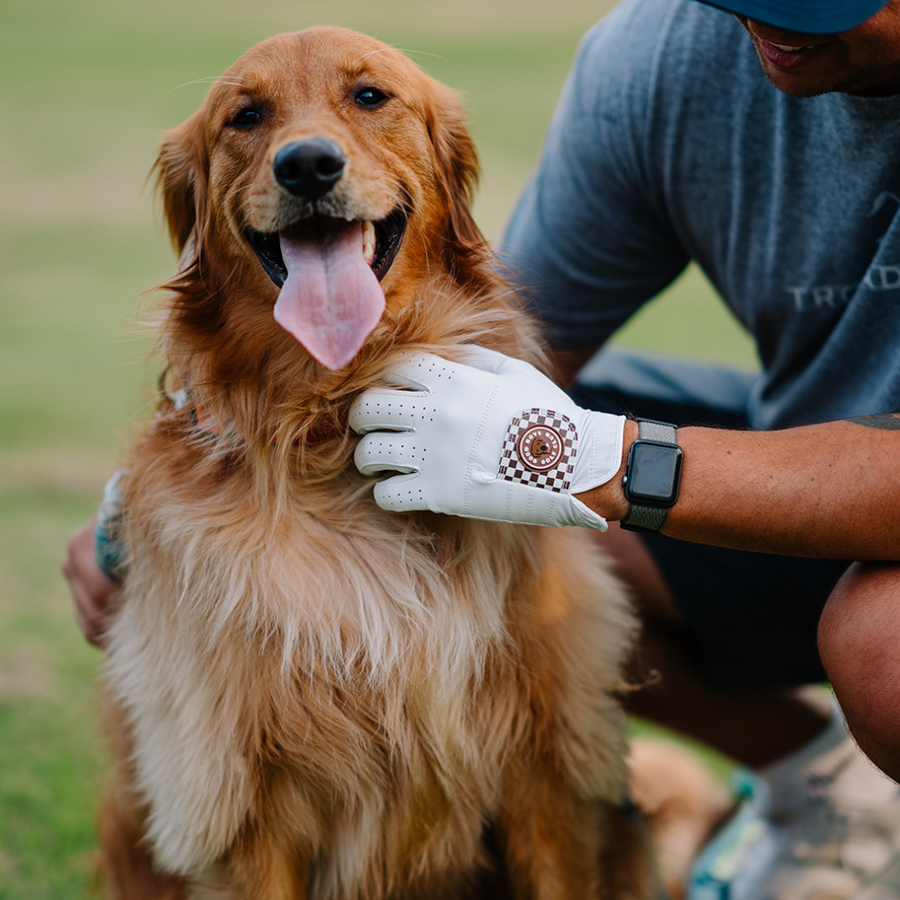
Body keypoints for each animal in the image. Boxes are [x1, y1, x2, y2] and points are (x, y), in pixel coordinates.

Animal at [95, 28, 712, 900]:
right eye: (245, 116)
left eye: (369, 97)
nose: (307, 165)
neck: (331, 423)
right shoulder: (241, 805)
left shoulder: (547, 766)